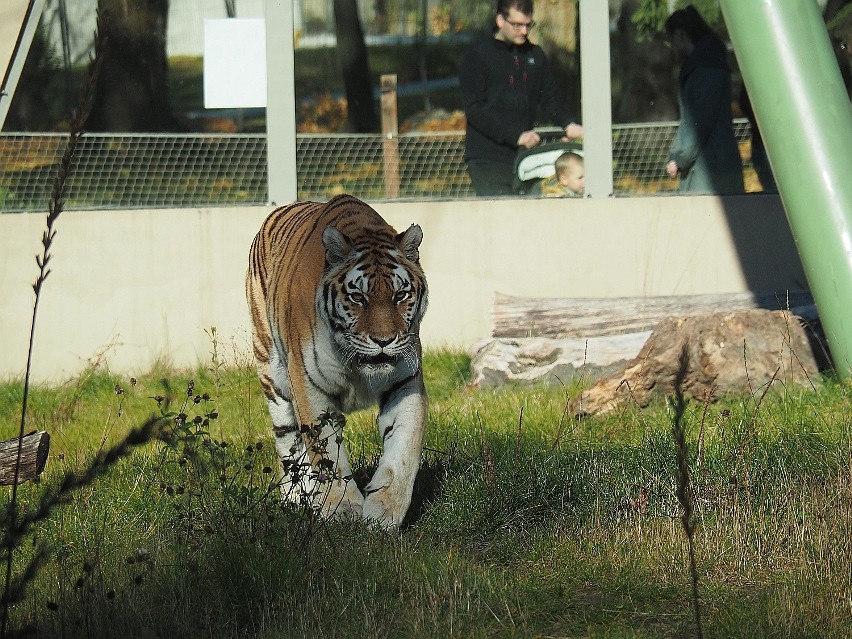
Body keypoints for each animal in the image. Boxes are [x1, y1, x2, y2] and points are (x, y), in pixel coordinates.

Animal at [246, 194, 432, 528]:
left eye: (400, 295)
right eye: (358, 297)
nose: (383, 341)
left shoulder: (405, 383)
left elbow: (404, 447)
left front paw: (385, 511)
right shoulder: (309, 386)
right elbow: (326, 455)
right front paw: (341, 510)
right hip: (272, 374)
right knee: (287, 441)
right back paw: (296, 498)